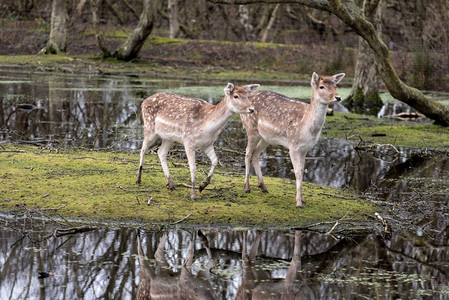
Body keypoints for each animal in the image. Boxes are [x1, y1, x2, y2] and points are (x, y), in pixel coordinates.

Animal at [240, 72, 344, 209]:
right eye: (321, 86)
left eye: (335, 85)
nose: (338, 97)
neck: (307, 127)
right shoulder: (293, 145)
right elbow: (297, 172)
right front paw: (299, 203)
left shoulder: (305, 148)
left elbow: (302, 171)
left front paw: (303, 200)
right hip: (251, 128)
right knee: (247, 153)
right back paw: (247, 187)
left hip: (266, 137)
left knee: (255, 153)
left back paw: (263, 187)